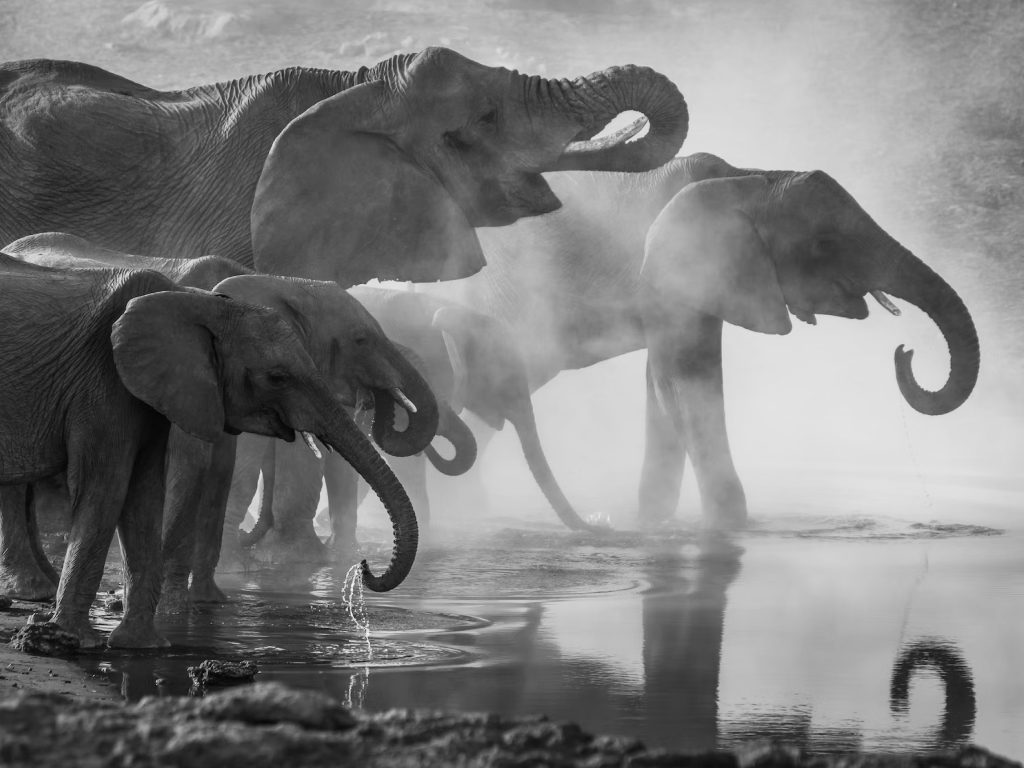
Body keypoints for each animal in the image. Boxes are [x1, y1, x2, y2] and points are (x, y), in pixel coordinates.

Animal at [0, 254, 417, 648]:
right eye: (277, 378)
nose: (364, 567)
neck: (199, 304)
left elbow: (144, 492)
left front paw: (142, 645)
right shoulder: (103, 380)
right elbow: (107, 486)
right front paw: (74, 640)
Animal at [426, 152, 980, 528]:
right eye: (824, 244)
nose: (904, 352)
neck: (750, 176)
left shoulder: (705, 279)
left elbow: (663, 386)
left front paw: (654, 525)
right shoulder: (677, 267)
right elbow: (685, 382)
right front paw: (729, 530)